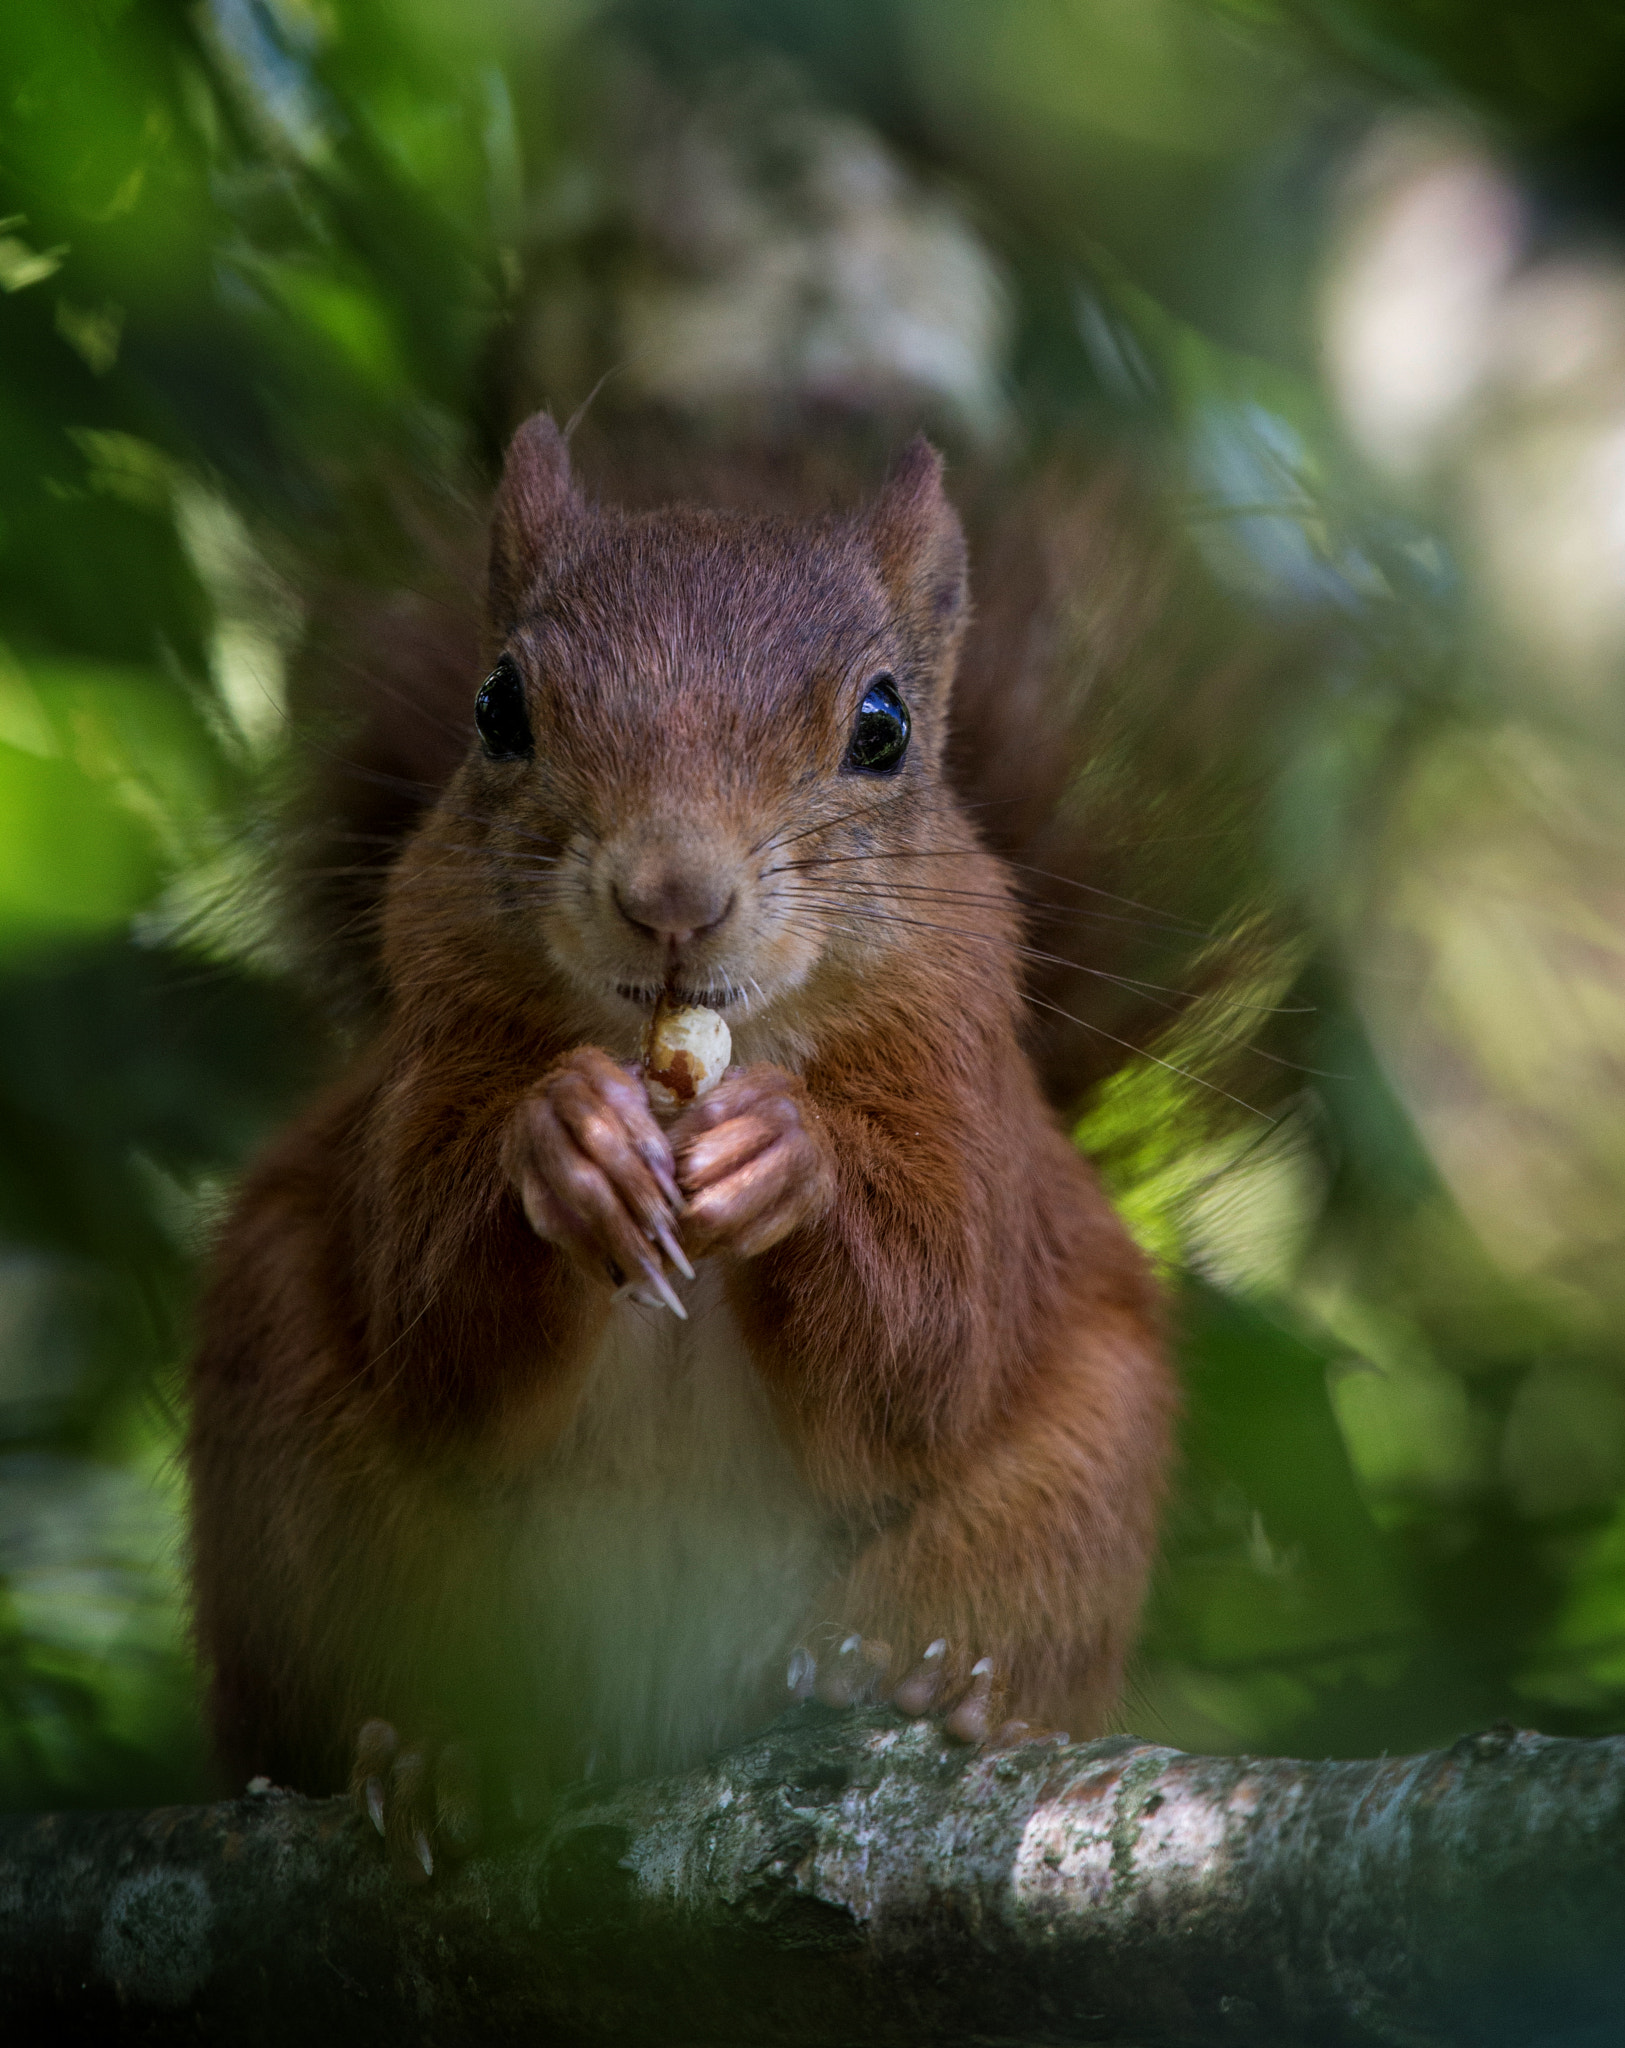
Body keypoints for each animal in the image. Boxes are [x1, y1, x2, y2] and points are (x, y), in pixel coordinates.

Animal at [183, 415, 1172, 1884]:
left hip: (1071, 1493)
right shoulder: (430, 1055)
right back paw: (443, 1755)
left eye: (882, 726)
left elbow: (928, 1357)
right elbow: (430, 1325)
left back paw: (933, 1684)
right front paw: (567, 1142)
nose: (671, 896)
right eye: (497, 707)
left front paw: (782, 1159)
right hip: (308, 1490)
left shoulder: (964, 1101)